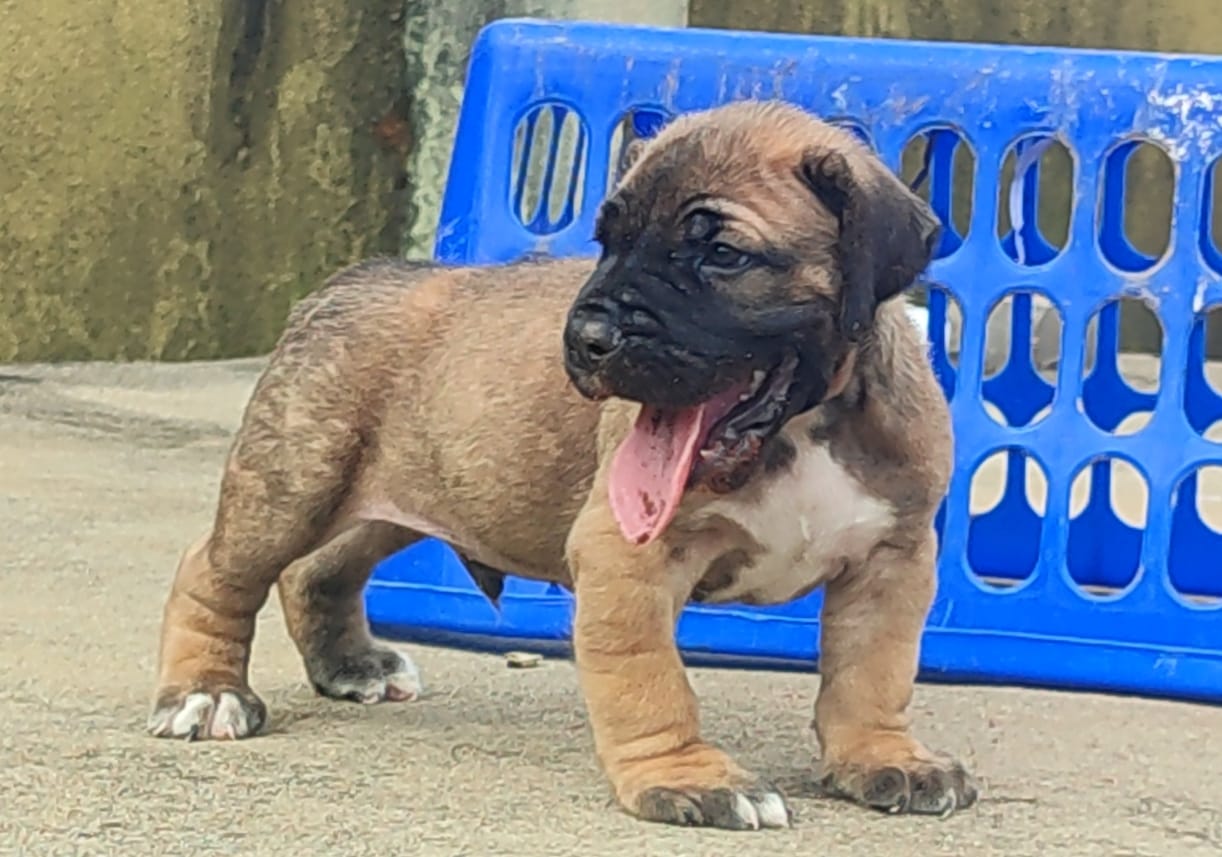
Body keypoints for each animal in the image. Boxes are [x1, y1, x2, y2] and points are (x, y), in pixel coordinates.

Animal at [147, 98, 977, 831]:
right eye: (605, 243)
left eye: (722, 254)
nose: (587, 337)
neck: (799, 429)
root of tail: (350, 280)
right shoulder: (626, 558)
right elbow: (649, 680)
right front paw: (686, 777)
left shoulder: (891, 558)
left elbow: (872, 671)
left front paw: (881, 755)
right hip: (291, 487)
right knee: (215, 571)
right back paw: (204, 692)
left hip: (404, 495)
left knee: (319, 568)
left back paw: (350, 664)